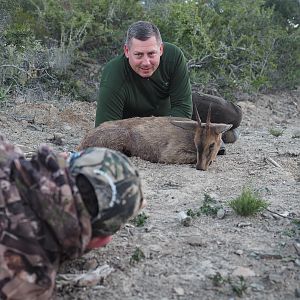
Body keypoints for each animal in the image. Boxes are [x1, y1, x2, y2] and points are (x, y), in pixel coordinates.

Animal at [77, 106, 232, 170]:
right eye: (196, 142)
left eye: (212, 144)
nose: (200, 167)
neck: (189, 134)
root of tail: (84, 141)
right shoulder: (169, 155)